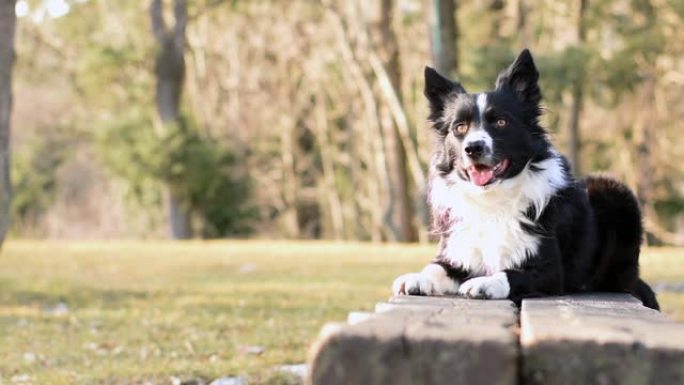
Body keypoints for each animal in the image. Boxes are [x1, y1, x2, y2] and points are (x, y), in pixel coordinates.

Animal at [392, 49, 660, 310]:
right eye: (460, 127)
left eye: (501, 122)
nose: (473, 148)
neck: (492, 199)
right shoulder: (458, 254)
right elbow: (435, 267)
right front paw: (417, 278)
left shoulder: (549, 270)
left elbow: (510, 274)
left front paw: (485, 283)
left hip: (613, 190)